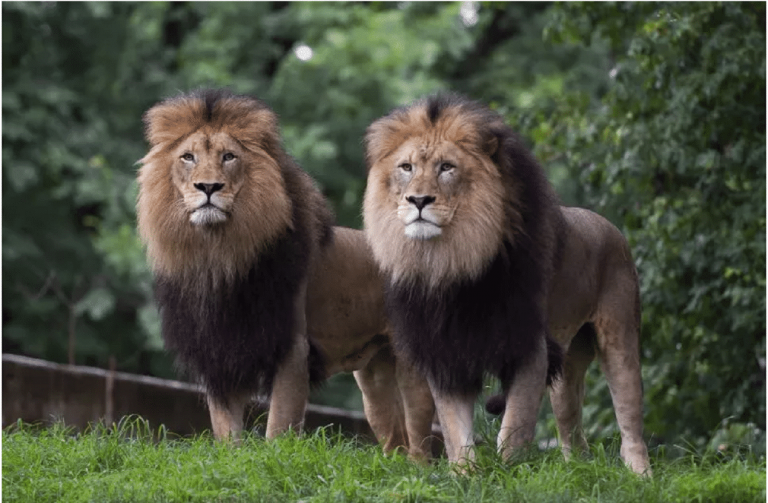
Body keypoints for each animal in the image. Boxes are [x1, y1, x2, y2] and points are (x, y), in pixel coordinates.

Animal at [362, 93, 651, 475]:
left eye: (447, 167)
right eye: (406, 167)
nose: (419, 201)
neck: (450, 262)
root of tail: (611, 227)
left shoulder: (529, 347)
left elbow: (514, 426)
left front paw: (509, 472)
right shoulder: (446, 351)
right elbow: (456, 431)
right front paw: (465, 475)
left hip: (619, 339)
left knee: (630, 419)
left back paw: (640, 475)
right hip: (567, 365)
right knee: (571, 429)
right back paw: (576, 470)